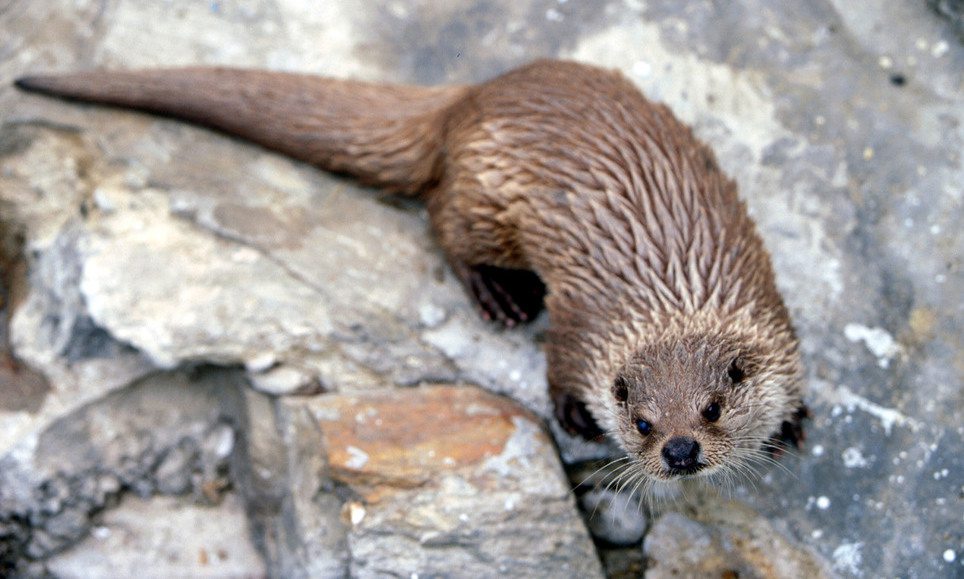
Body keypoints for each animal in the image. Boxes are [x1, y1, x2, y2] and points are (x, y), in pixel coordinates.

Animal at [18, 61, 808, 488]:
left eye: (711, 408)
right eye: (641, 422)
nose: (678, 450)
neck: (674, 295)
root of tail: (468, 99)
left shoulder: (772, 315)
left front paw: (792, 424)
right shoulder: (582, 327)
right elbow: (559, 364)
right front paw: (574, 414)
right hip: (484, 199)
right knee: (440, 219)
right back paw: (497, 295)